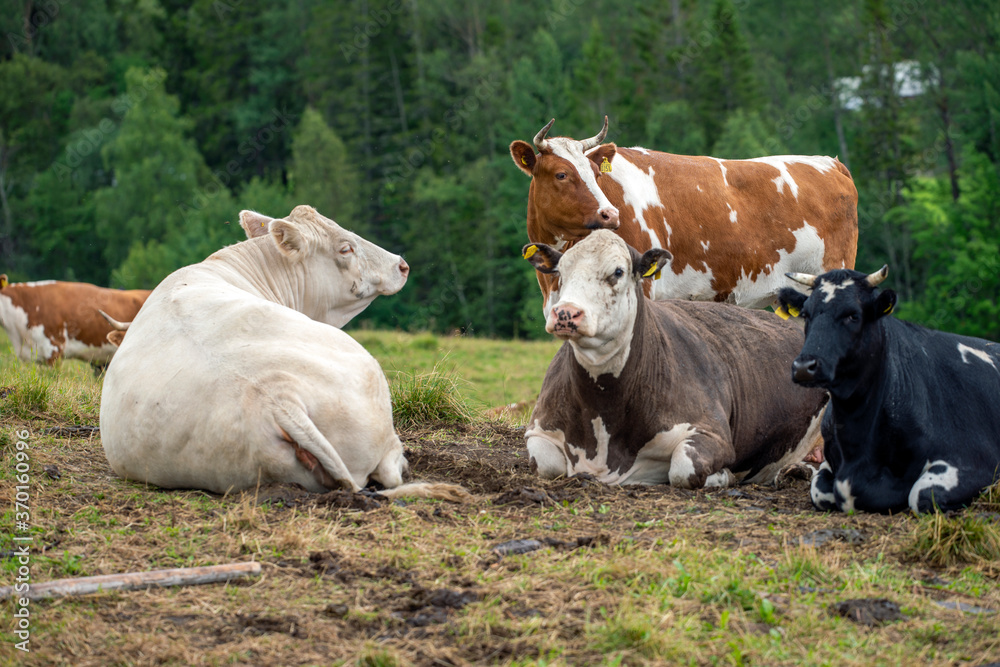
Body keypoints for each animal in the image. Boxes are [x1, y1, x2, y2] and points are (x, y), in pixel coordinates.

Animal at [524, 232, 828, 488]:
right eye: (561, 272)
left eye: (618, 272)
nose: (565, 313)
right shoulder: (538, 430)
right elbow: (548, 466)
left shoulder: (711, 433)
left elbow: (683, 469)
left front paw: (722, 476)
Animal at [776, 268, 1000, 516]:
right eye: (806, 314)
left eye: (853, 315)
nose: (804, 367)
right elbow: (818, 491)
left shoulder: (976, 461)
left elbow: (921, 494)